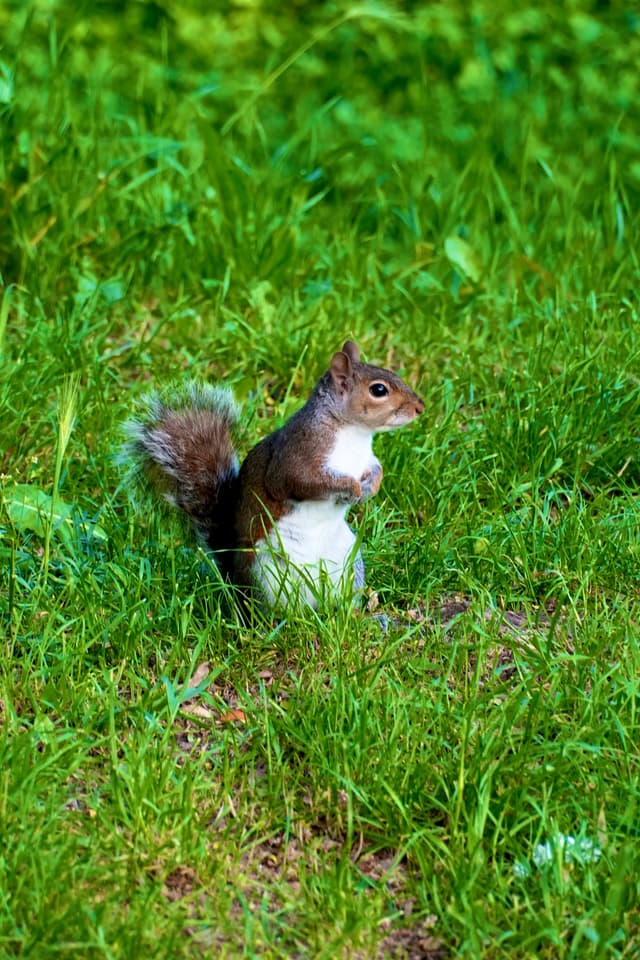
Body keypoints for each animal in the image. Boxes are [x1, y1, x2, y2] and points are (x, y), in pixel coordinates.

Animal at [124, 341, 424, 610]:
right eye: (379, 389)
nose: (420, 407)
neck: (354, 434)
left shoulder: (366, 459)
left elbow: (377, 468)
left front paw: (370, 487)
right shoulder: (296, 458)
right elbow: (301, 483)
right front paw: (351, 488)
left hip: (348, 561)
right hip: (266, 573)